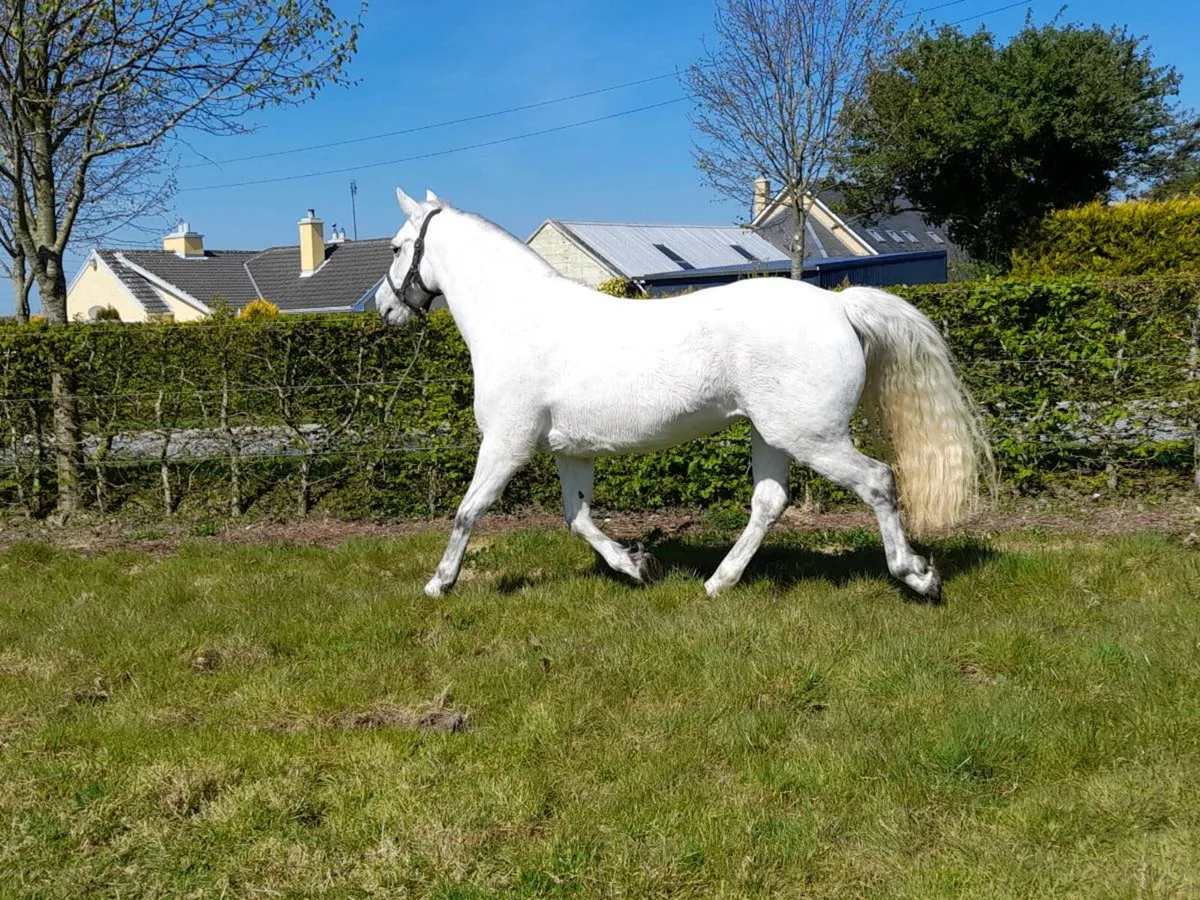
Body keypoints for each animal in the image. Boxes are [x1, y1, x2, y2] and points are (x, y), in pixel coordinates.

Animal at [376, 188, 988, 602]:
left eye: (400, 246)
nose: (385, 307)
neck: (519, 320)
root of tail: (836, 305)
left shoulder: (506, 444)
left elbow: (468, 511)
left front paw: (439, 584)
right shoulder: (571, 452)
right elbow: (578, 519)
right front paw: (636, 565)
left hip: (811, 436)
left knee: (878, 481)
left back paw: (918, 577)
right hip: (772, 434)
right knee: (770, 503)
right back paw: (718, 582)